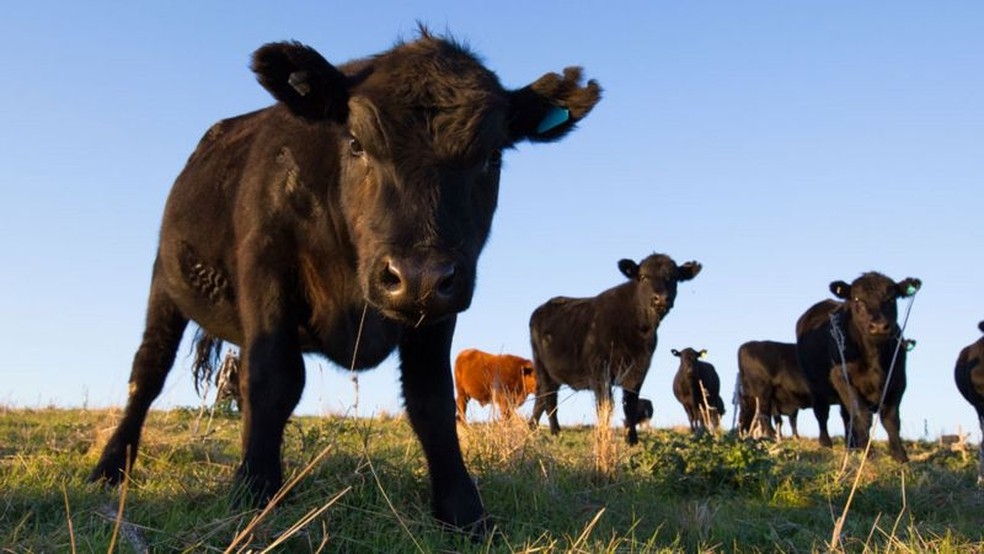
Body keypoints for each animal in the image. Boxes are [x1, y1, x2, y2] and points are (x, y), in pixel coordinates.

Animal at [87, 29, 601, 533]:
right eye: (356, 143)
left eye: (493, 156)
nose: (415, 276)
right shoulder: (266, 265)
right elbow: (273, 378)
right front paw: (254, 492)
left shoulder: (440, 305)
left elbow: (431, 399)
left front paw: (463, 510)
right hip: (164, 285)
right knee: (148, 372)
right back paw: (111, 468)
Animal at [529, 253, 701, 444]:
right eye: (643, 276)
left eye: (674, 277)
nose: (661, 298)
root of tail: (542, 307)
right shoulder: (599, 371)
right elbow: (605, 405)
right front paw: (603, 436)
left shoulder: (639, 369)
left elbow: (630, 405)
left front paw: (632, 440)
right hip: (542, 366)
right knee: (549, 398)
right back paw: (555, 432)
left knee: (540, 398)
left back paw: (532, 428)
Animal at [795, 272, 920, 462]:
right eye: (857, 299)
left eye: (891, 298)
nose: (878, 326)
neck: (874, 355)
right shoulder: (841, 376)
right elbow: (862, 415)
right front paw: (869, 453)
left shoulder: (898, 380)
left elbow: (891, 419)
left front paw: (900, 455)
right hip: (815, 386)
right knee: (822, 413)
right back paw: (826, 444)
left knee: (846, 416)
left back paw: (851, 447)